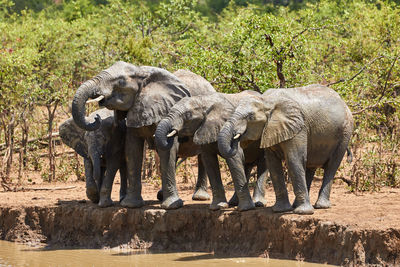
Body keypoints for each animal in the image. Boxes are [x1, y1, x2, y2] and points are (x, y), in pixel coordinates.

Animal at [71, 61, 216, 210]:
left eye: (121, 82)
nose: (97, 118)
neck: (141, 72)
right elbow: (132, 149)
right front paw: (131, 205)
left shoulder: (166, 109)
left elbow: (167, 150)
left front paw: (171, 206)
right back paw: (161, 196)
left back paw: (199, 197)